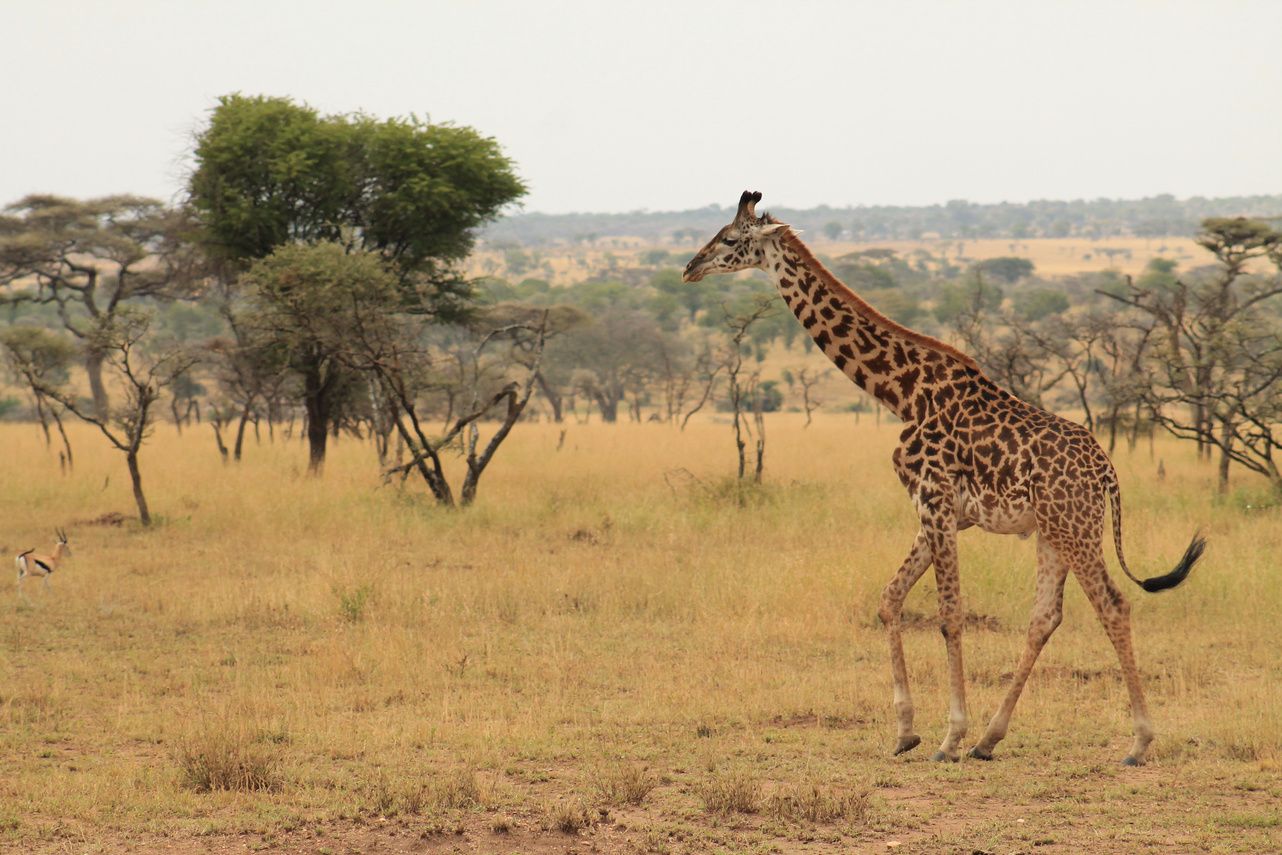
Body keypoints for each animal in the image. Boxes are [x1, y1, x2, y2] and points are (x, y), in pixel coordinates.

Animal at [683, 191, 1205, 765]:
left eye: (731, 239)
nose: (689, 267)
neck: (902, 392)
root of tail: (1109, 474)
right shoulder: (941, 511)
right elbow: (889, 599)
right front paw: (906, 731)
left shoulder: (933, 500)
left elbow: (950, 613)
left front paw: (948, 736)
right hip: (1052, 531)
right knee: (1045, 617)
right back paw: (990, 739)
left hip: (1074, 527)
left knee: (1112, 604)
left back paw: (1138, 741)